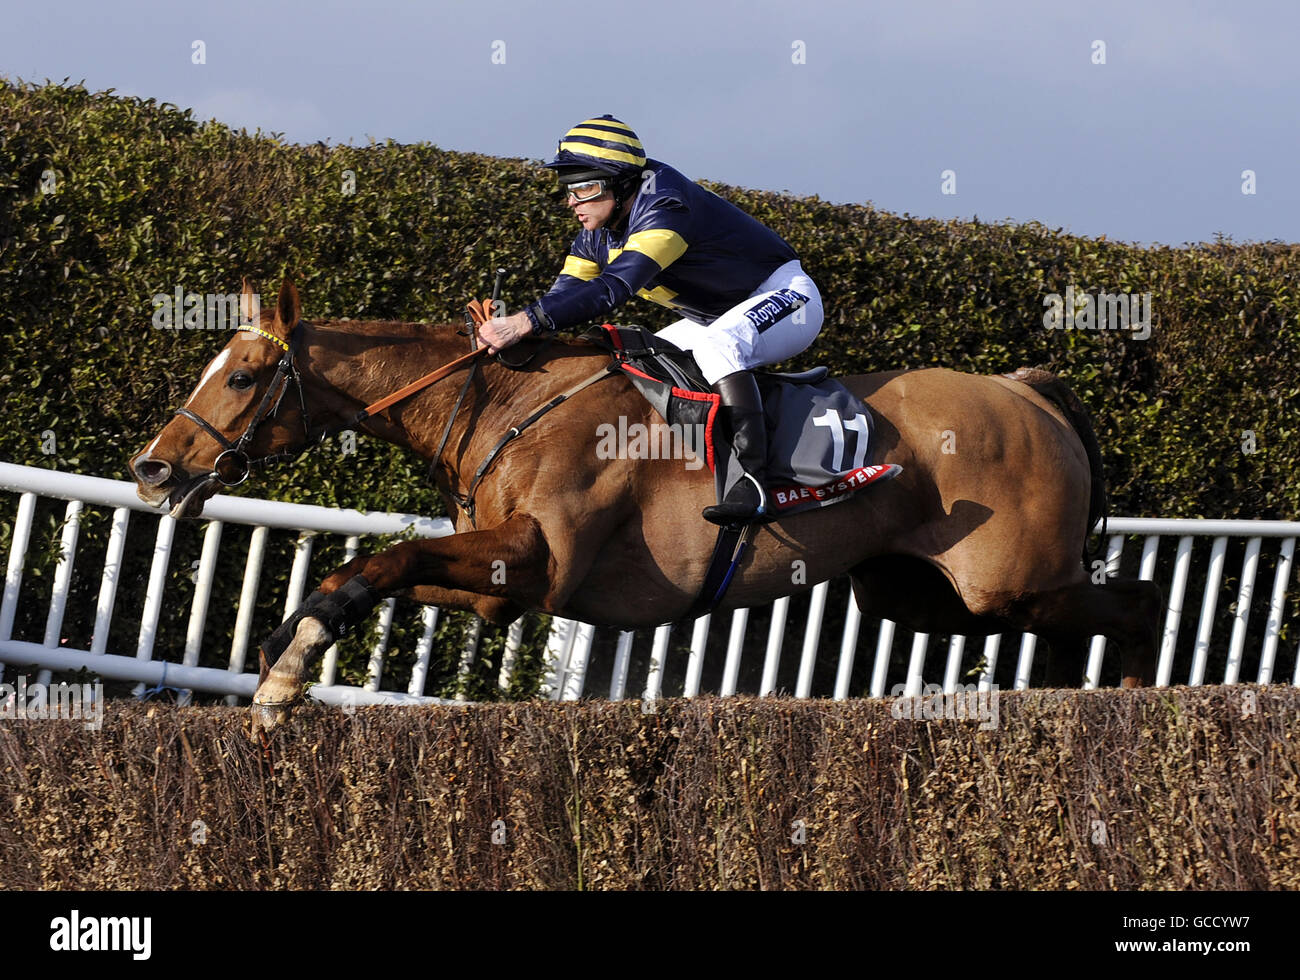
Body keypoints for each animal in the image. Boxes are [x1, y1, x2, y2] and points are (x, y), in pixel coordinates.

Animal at [131, 276, 1164, 733]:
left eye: (245, 376)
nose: (153, 468)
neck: (507, 400)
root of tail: (1028, 389)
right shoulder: (504, 586)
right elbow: (378, 569)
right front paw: (284, 654)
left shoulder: (539, 560)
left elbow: (385, 560)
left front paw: (283, 671)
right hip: (919, 594)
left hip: (1009, 582)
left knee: (1139, 602)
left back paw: (1141, 706)